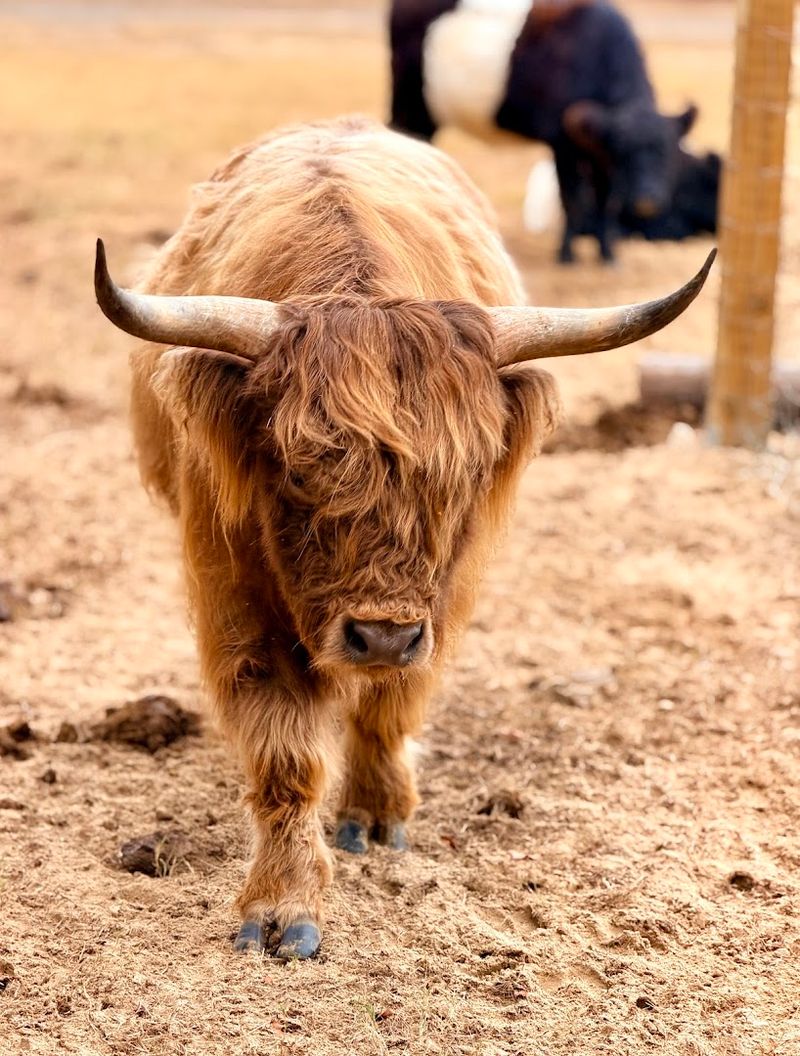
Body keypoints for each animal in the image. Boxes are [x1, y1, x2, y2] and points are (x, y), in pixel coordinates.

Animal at [95, 116, 714, 960]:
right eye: (296, 469)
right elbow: (284, 749)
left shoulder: (444, 594)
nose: (380, 635)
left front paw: (376, 815)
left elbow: (394, 702)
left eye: (464, 473)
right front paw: (282, 908)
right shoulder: (232, 588)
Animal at [390, 0, 716, 263]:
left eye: (668, 151)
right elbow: (571, 199)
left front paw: (607, 254)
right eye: (623, 151)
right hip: (410, 105)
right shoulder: (564, 144)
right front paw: (567, 255)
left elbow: (605, 199)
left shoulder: (599, 155)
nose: (647, 200)